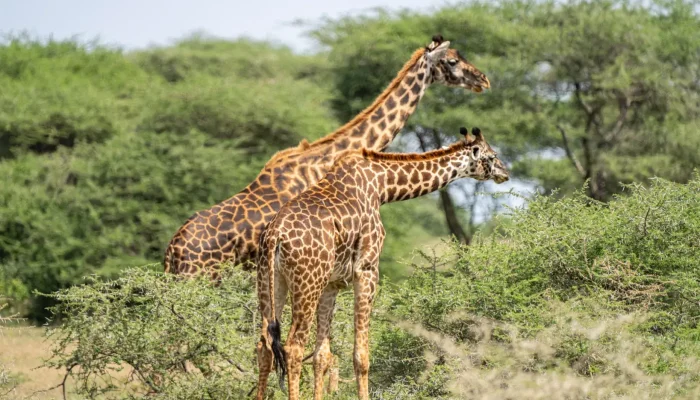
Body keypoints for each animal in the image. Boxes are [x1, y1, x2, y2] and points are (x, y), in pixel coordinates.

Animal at [256, 126, 508, 398]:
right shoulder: (366, 270)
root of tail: (275, 236)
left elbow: (322, 356)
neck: (382, 186)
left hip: (271, 282)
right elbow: (361, 356)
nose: (505, 172)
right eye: (492, 156)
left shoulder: (332, 283)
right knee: (293, 348)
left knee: (264, 347)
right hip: (307, 283)